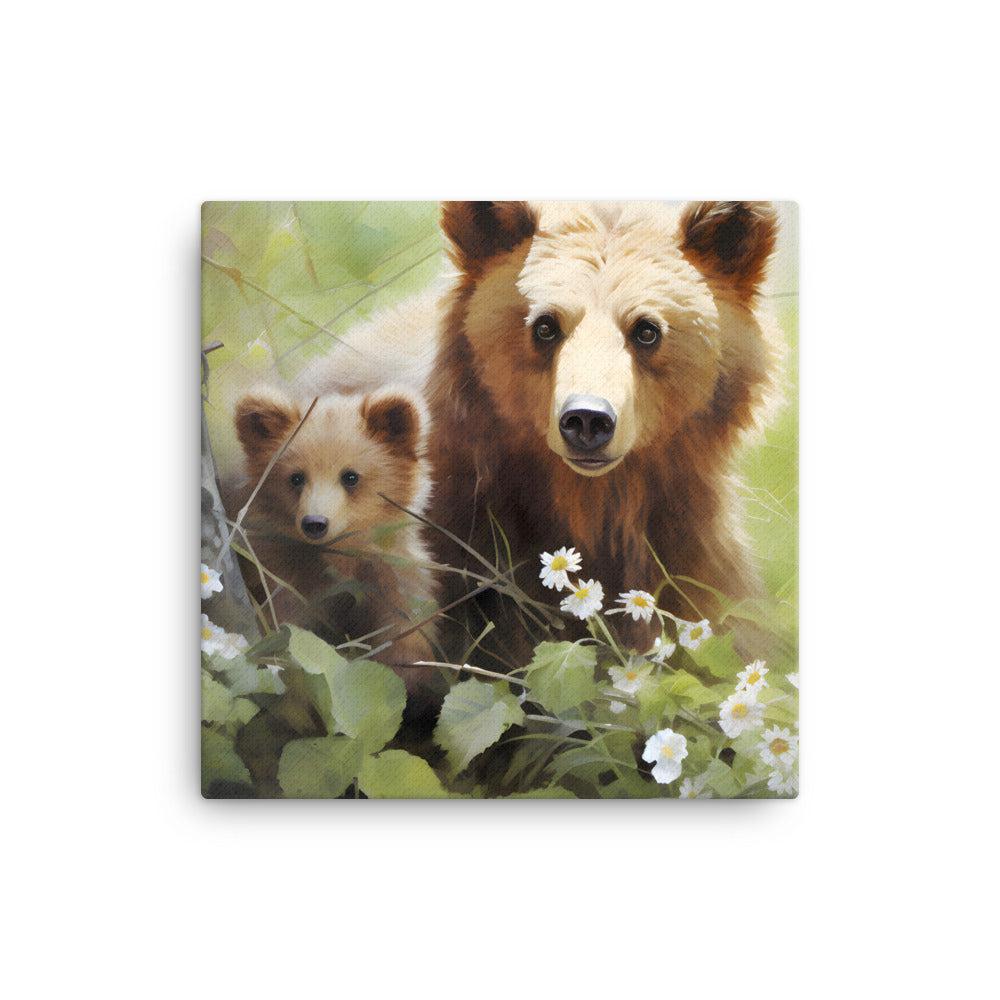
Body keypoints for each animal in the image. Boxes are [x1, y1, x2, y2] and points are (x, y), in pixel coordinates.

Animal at [223, 382, 440, 686]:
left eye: (350, 476)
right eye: (296, 477)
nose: (315, 523)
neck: (338, 557)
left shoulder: (393, 579)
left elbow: (405, 636)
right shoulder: (284, 576)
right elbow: (287, 628)